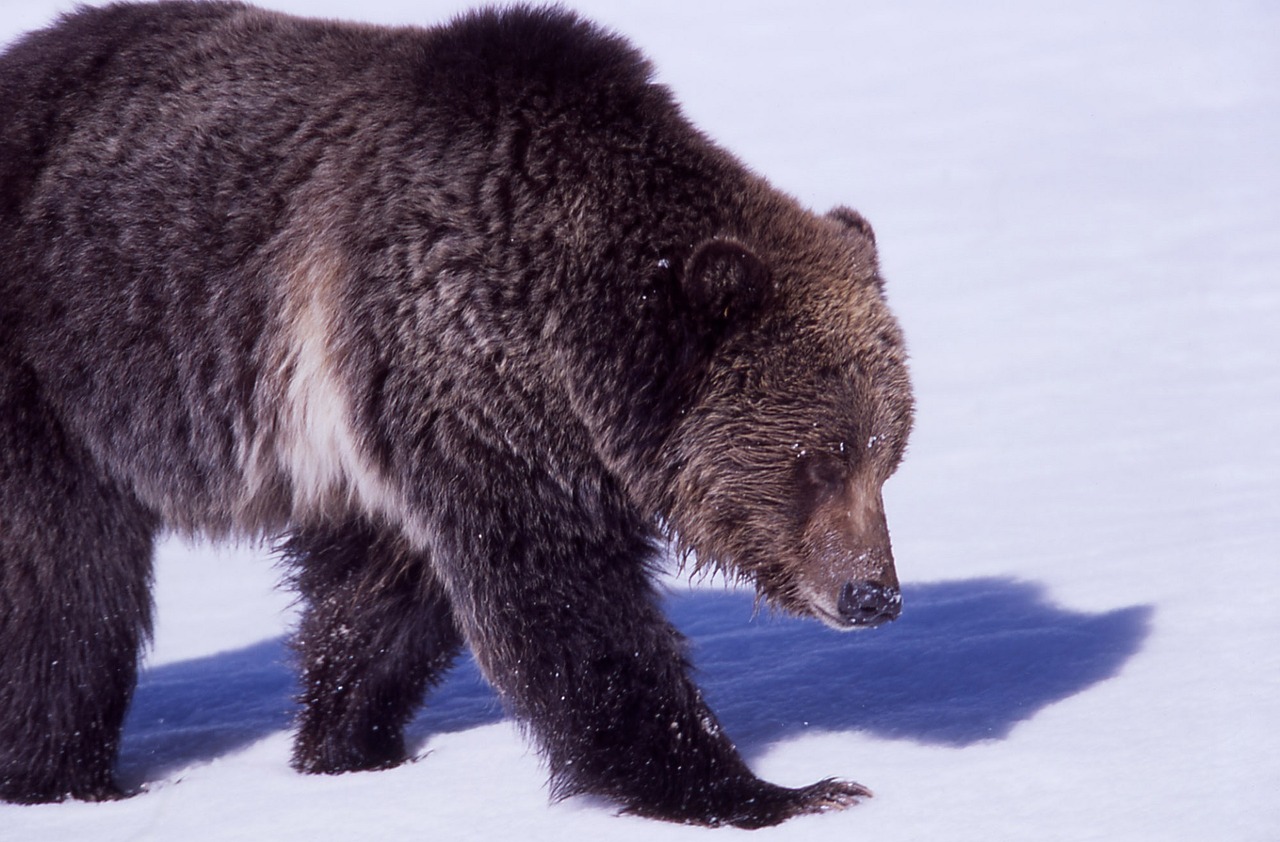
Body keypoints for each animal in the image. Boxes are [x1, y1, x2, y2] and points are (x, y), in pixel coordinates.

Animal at [5, 0, 916, 824]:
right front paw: (771, 790)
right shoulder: (463, 368)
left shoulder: (393, 431)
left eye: (886, 453)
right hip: (55, 367)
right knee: (64, 586)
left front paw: (346, 743)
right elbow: (564, 606)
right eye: (819, 457)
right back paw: (64, 775)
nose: (872, 594)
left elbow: (379, 604)